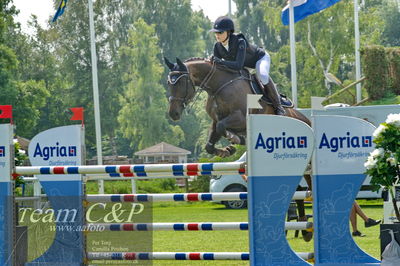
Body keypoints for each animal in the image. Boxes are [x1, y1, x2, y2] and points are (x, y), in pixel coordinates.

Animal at [164, 56, 314, 241]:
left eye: (180, 82)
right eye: (169, 83)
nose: (173, 114)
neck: (218, 86)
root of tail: (307, 121)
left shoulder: (240, 117)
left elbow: (223, 127)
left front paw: (235, 139)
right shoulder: (215, 121)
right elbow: (211, 141)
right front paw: (226, 150)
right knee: (298, 189)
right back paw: (305, 226)